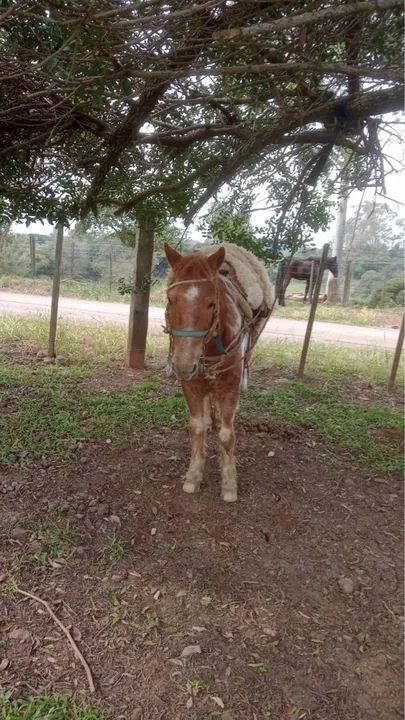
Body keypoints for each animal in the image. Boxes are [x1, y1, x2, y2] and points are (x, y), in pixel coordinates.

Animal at [164, 242, 273, 502]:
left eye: (211, 302)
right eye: (171, 300)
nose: (183, 365)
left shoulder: (229, 386)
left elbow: (226, 434)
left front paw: (229, 482)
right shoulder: (191, 385)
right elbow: (197, 427)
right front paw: (193, 476)